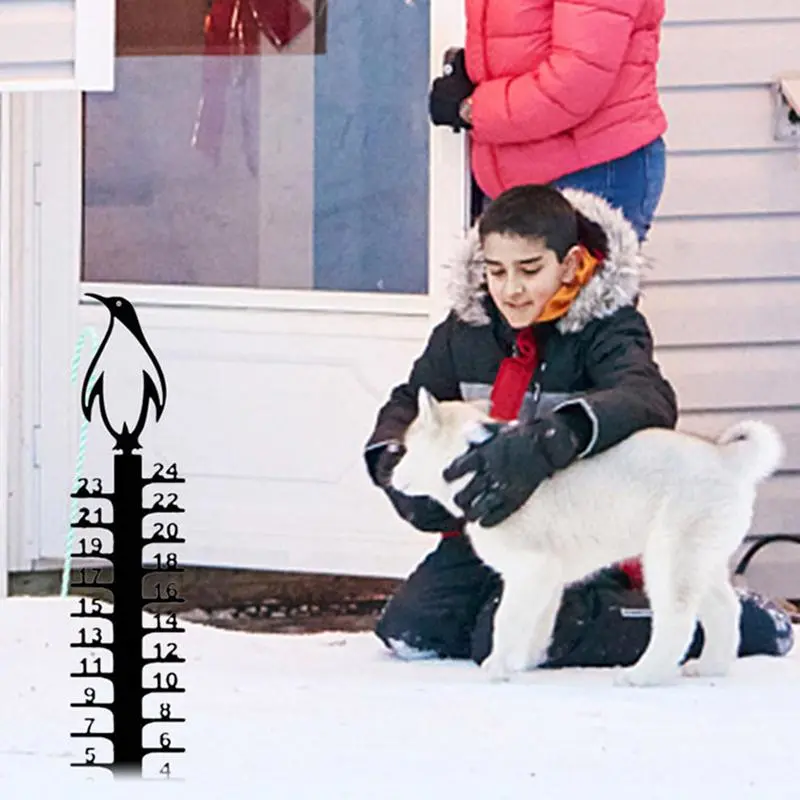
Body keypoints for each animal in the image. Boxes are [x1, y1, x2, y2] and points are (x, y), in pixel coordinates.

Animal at [390, 390, 784, 688]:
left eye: (408, 448)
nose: (390, 474)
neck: (475, 463)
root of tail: (725, 456)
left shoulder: (530, 571)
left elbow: (506, 621)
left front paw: (498, 666)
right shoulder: (545, 580)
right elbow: (537, 625)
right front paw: (523, 662)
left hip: (669, 560)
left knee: (677, 621)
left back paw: (643, 675)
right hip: (702, 559)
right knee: (725, 610)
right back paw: (710, 667)